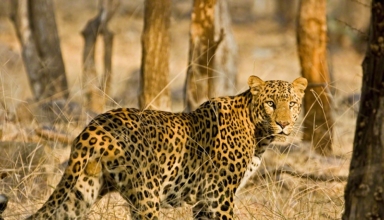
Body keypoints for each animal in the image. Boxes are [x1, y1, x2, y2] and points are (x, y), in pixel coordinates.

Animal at [17, 75, 306, 218]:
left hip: (82, 190)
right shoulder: (219, 194)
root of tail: (95, 127)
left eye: (291, 103)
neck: (259, 136)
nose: (283, 124)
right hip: (146, 195)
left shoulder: (204, 200)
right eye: (270, 103)